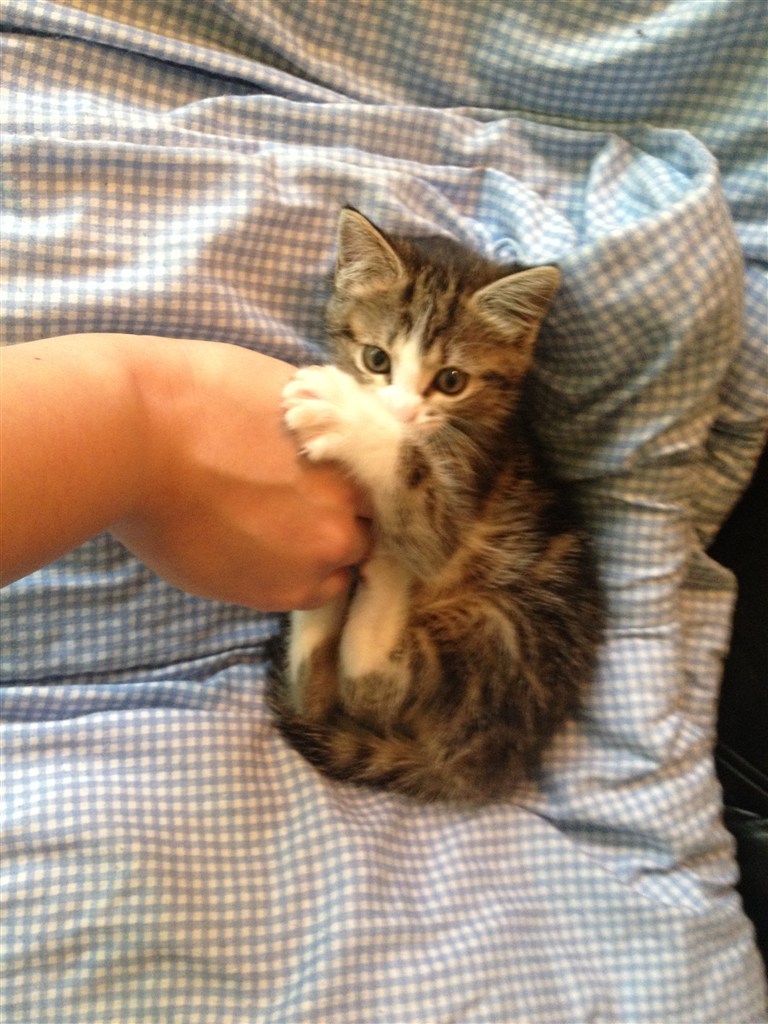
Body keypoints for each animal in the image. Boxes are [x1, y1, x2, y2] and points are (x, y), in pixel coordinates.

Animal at [268, 207, 603, 803]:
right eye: (376, 358)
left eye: (451, 380)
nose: (400, 412)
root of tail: (483, 768)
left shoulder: (469, 484)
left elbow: (422, 506)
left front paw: (351, 420)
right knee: (318, 700)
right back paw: (323, 606)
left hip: (501, 638)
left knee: (370, 688)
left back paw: (382, 577)